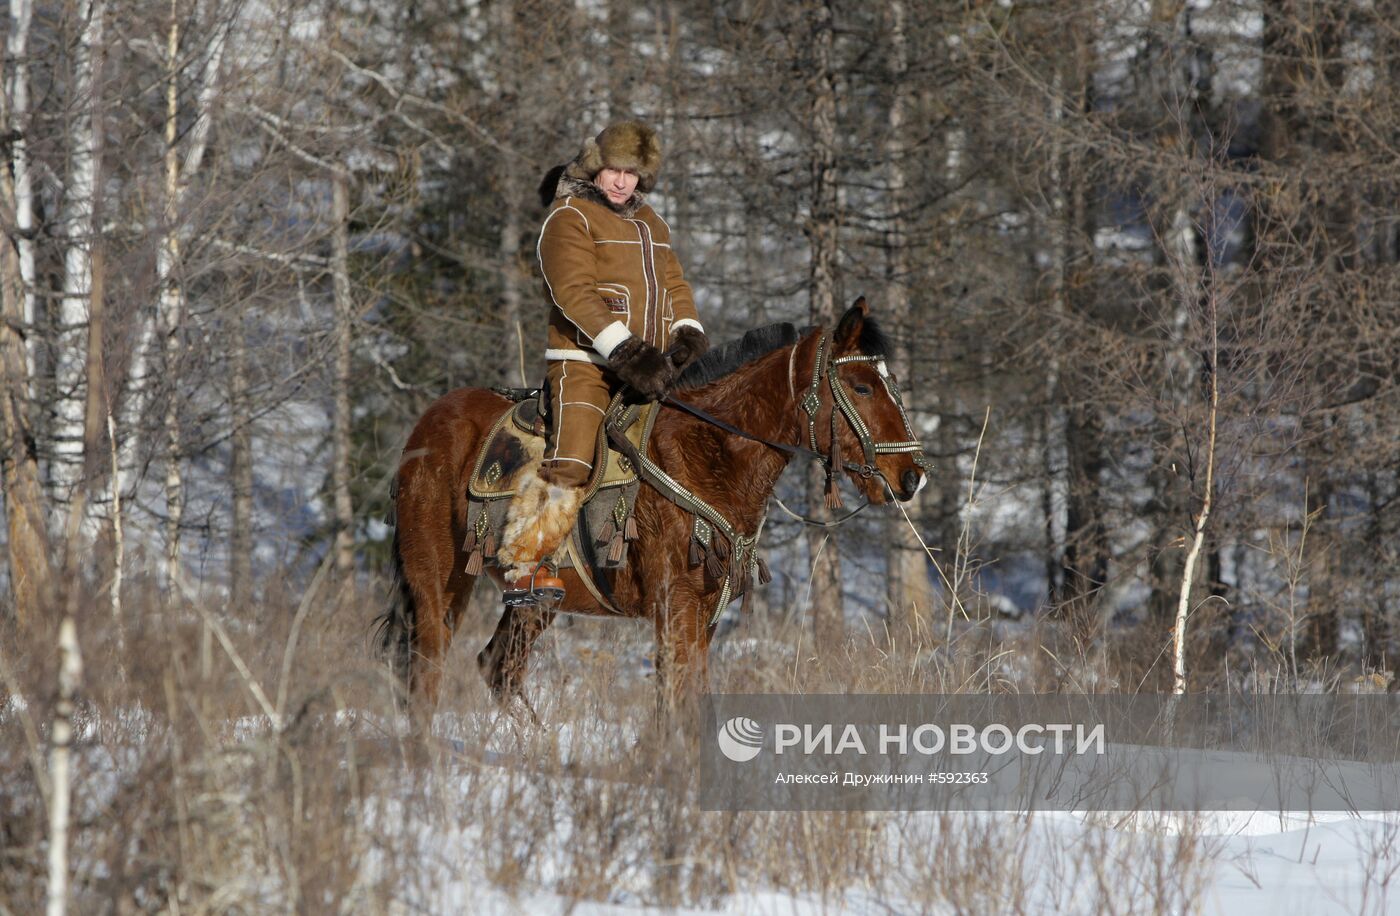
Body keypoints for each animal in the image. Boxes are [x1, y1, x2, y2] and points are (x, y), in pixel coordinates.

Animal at [378, 298, 935, 722]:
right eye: (862, 386)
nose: (912, 475)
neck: (706, 452)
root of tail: (424, 430)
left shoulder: (703, 615)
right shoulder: (677, 606)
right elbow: (681, 701)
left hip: (534, 603)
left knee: (497, 668)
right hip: (439, 584)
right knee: (426, 676)